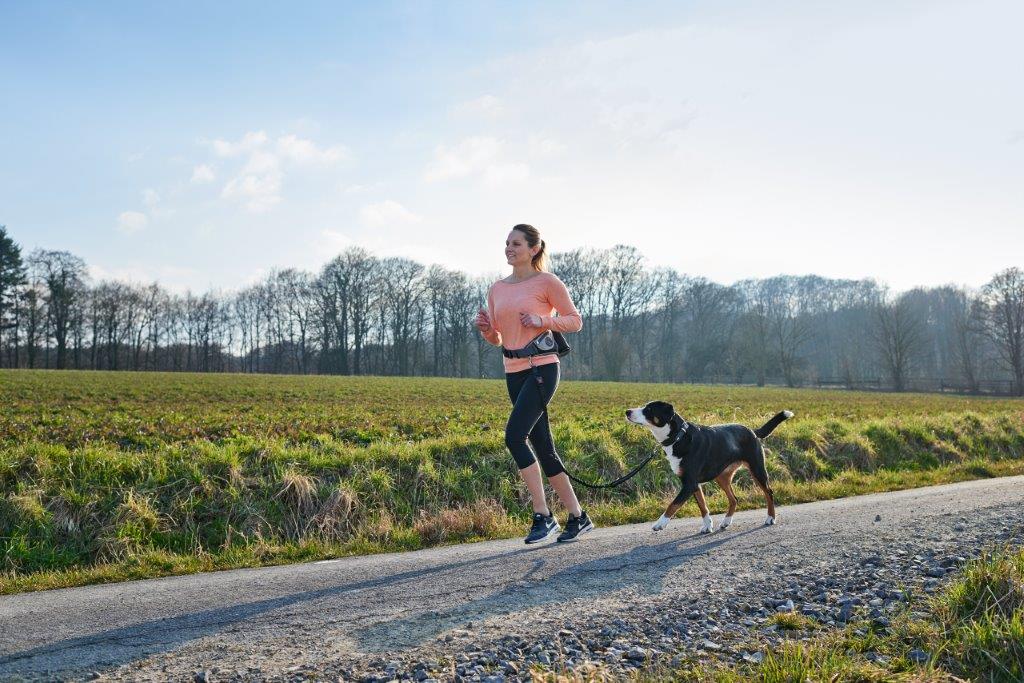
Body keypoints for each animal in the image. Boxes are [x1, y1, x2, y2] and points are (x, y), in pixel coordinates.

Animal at [622, 403, 790, 536]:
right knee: (734, 499)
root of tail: (752, 431)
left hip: (757, 470)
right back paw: (726, 522)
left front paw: (660, 523)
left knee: (769, 492)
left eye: (649, 409)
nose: (627, 411)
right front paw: (708, 525)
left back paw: (770, 518)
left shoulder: (689, 484)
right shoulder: (694, 484)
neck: (678, 437)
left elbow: (673, 505)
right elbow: (702, 506)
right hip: (722, 477)